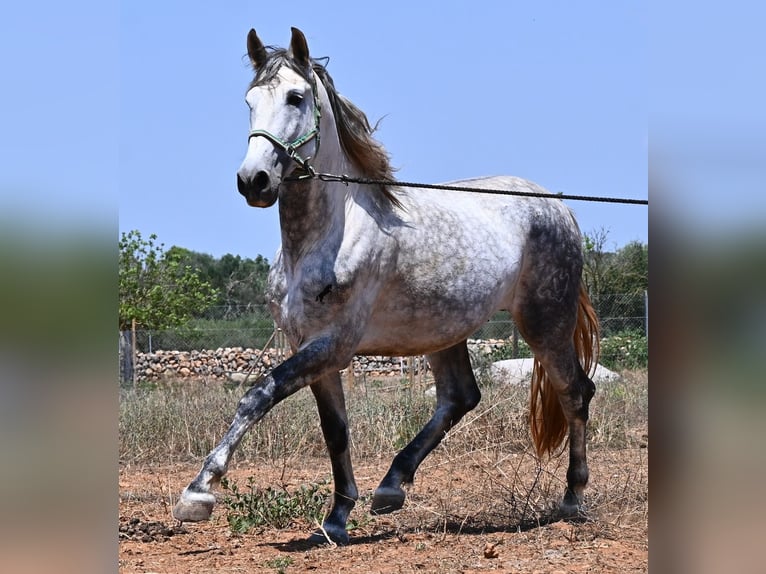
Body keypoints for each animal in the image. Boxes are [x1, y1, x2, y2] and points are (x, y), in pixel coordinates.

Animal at [173, 27, 600, 545]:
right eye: (250, 102)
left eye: (296, 97)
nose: (253, 180)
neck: (322, 239)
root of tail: (557, 205)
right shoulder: (310, 348)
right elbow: (335, 430)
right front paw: (337, 518)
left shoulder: (333, 344)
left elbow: (257, 396)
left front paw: (198, 493)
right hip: (444, 331)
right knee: (460, 397)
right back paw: (391, 488)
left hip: (545, 322)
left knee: (575, 392)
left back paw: (573, 499)